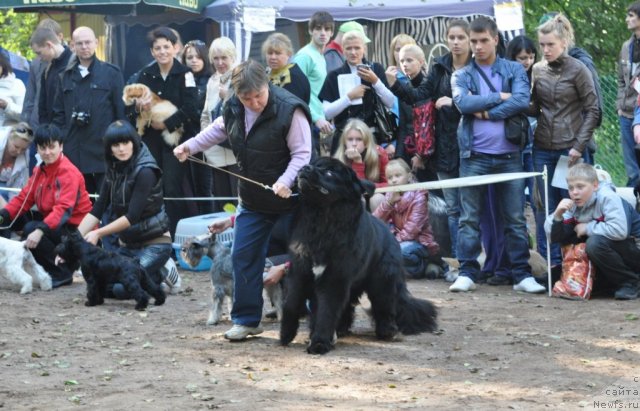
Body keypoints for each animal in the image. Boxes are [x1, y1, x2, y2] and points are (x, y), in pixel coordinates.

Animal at [282, 158, 438, 354]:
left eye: (330, 173)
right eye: (315, 164)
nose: (305, 167)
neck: (321, 220)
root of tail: (391, 233)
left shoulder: (334, 278)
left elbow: (326, 310)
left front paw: (319, 343)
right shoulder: (300, 271)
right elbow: (292, 301)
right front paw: (286, 334)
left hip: (382, 280)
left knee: (385, 304)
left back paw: (387, 330)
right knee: (347, 306)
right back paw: (341, 329)